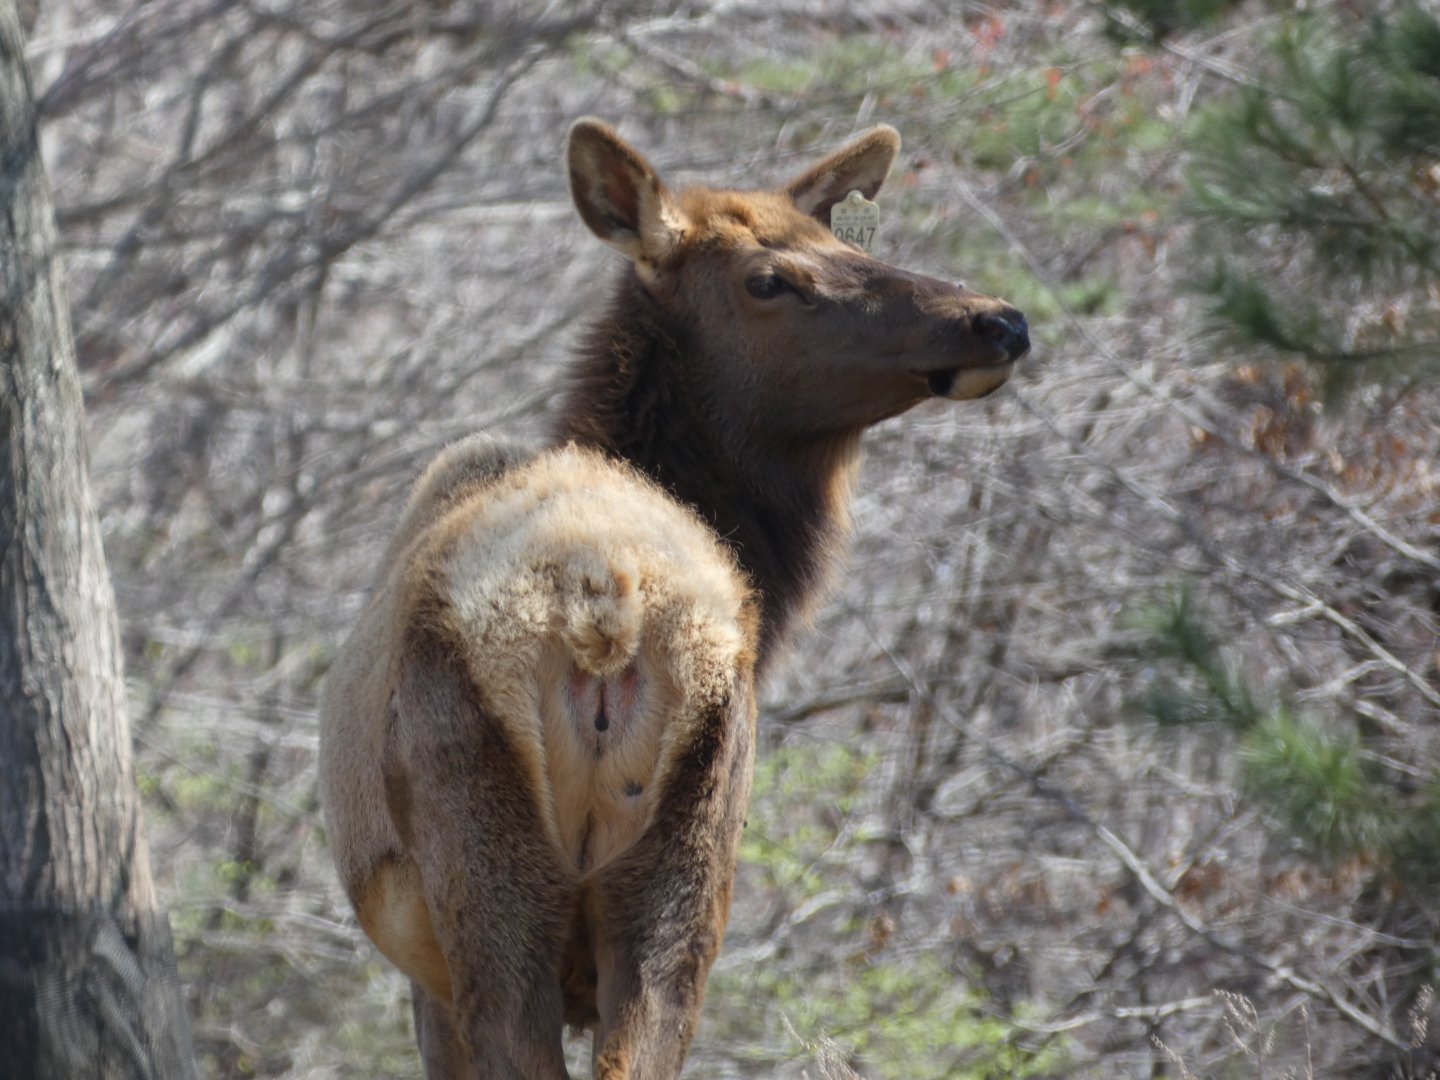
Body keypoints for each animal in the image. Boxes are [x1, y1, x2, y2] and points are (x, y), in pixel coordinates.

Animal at [319, 119, 1029, 1079]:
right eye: (768, 278)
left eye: (849, 246)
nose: (999, 319)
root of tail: (604, 603)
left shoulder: (426, 974)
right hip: (683, 869)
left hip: (509, 873)